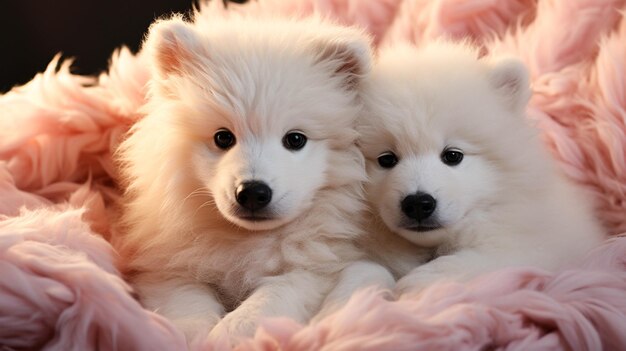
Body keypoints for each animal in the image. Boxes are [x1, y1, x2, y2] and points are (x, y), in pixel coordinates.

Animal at [116, 14, 376, 344]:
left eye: (295, 139)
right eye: (223, 137)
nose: (252, 192)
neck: (246, 239)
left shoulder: (313, 270)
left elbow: (265, 304)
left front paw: (226, 336)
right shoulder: (167, 269)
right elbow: (187, 306)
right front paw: (193, 336)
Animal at [356, 42, 604, 294]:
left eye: (452, 156)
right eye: (387, 159)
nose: (417, 203)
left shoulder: (539, 246)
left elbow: (485, 259)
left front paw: (421, 282)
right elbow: (366, 267)